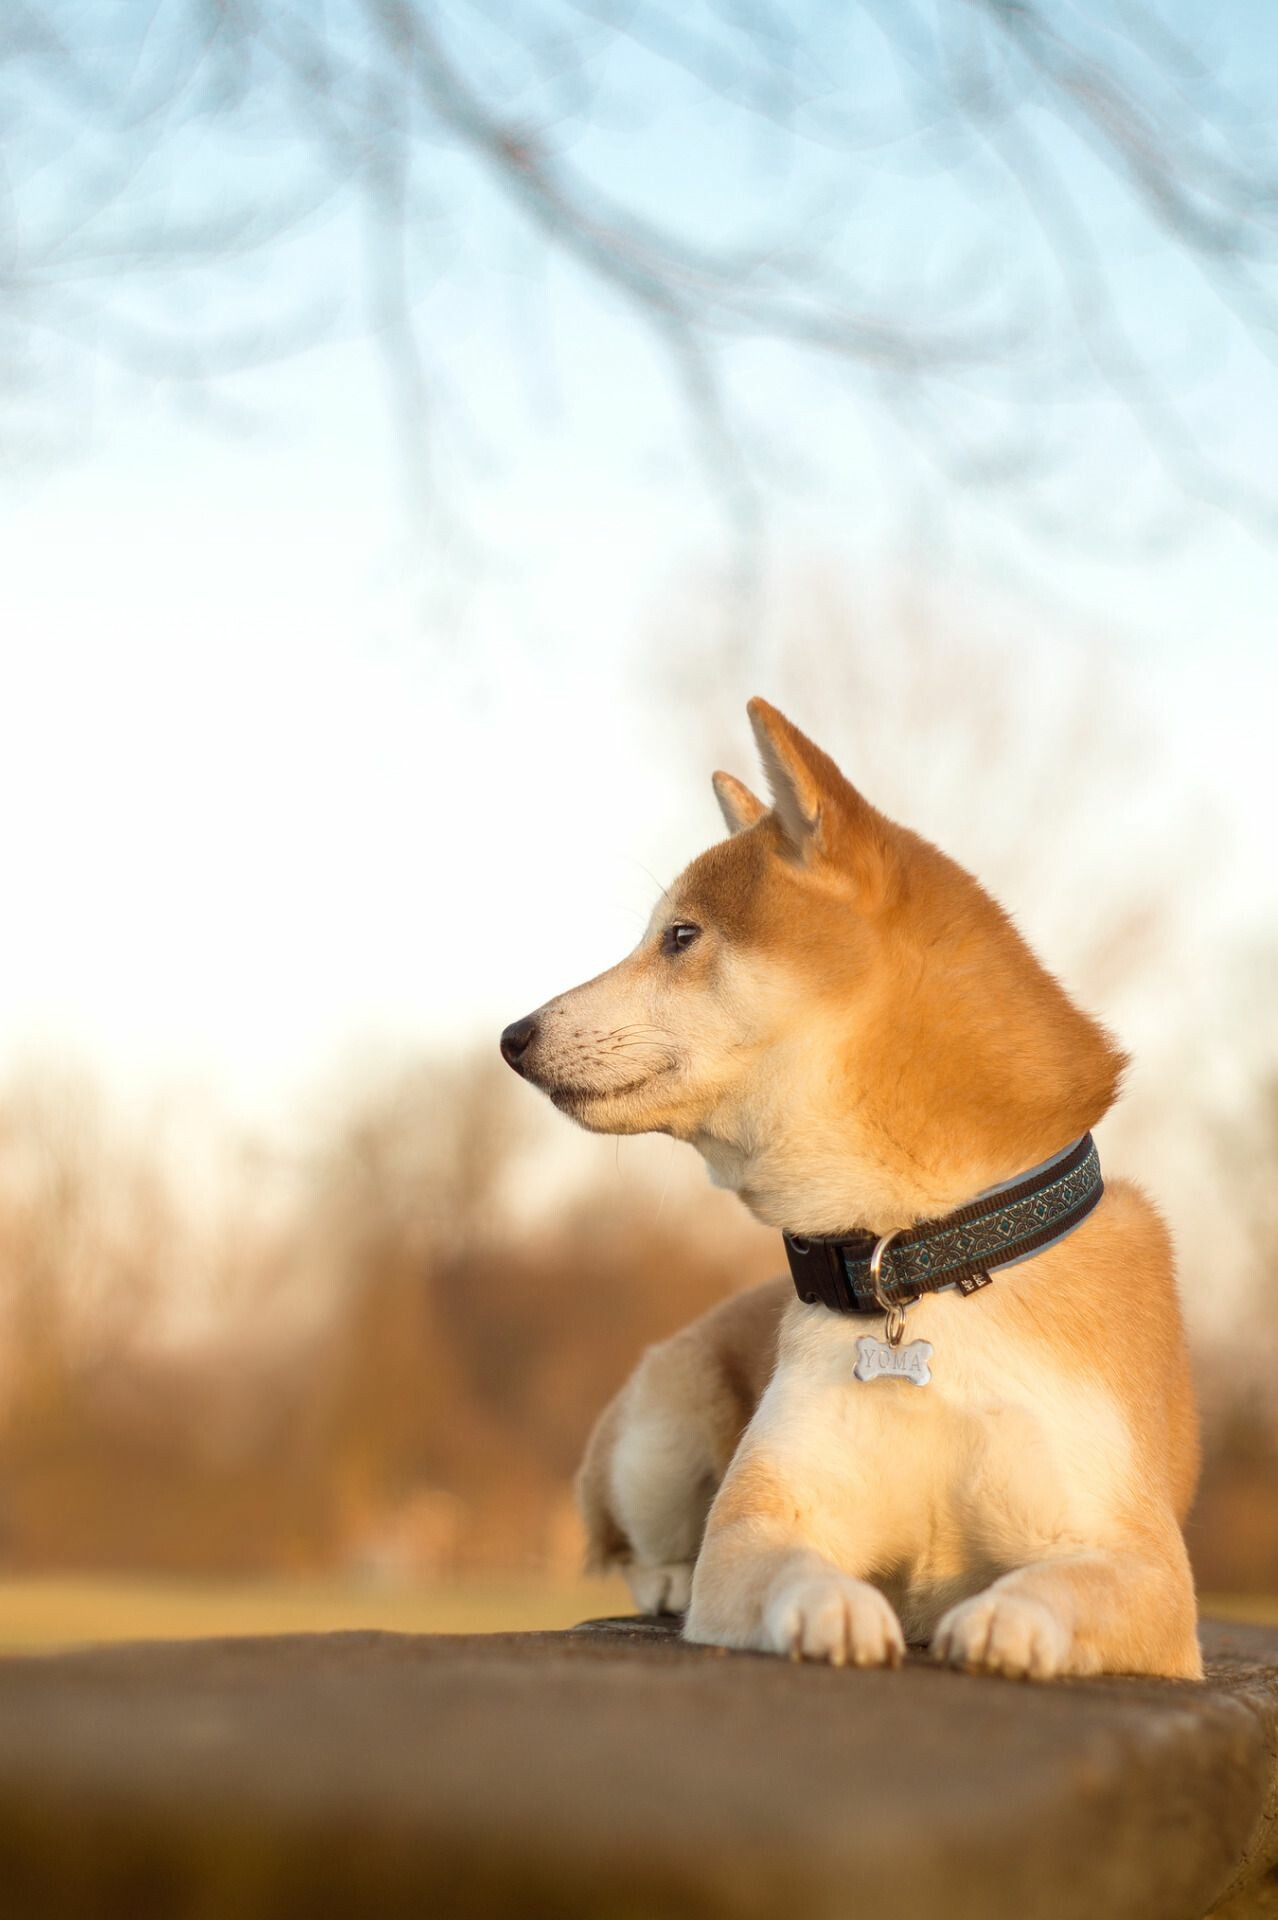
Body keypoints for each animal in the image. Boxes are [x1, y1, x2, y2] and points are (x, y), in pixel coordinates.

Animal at [495, 698, 1197, 1674]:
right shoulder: (762, 1520)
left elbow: (1070, 1584)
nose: (512, 1036)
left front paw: (1010, 1621)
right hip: (659, 1440)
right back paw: (668, 1579)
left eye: (681, 937)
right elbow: (784, 1561)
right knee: (637, 1548)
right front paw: (832, 1608)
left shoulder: (1139, 1561)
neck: (925, 1256)